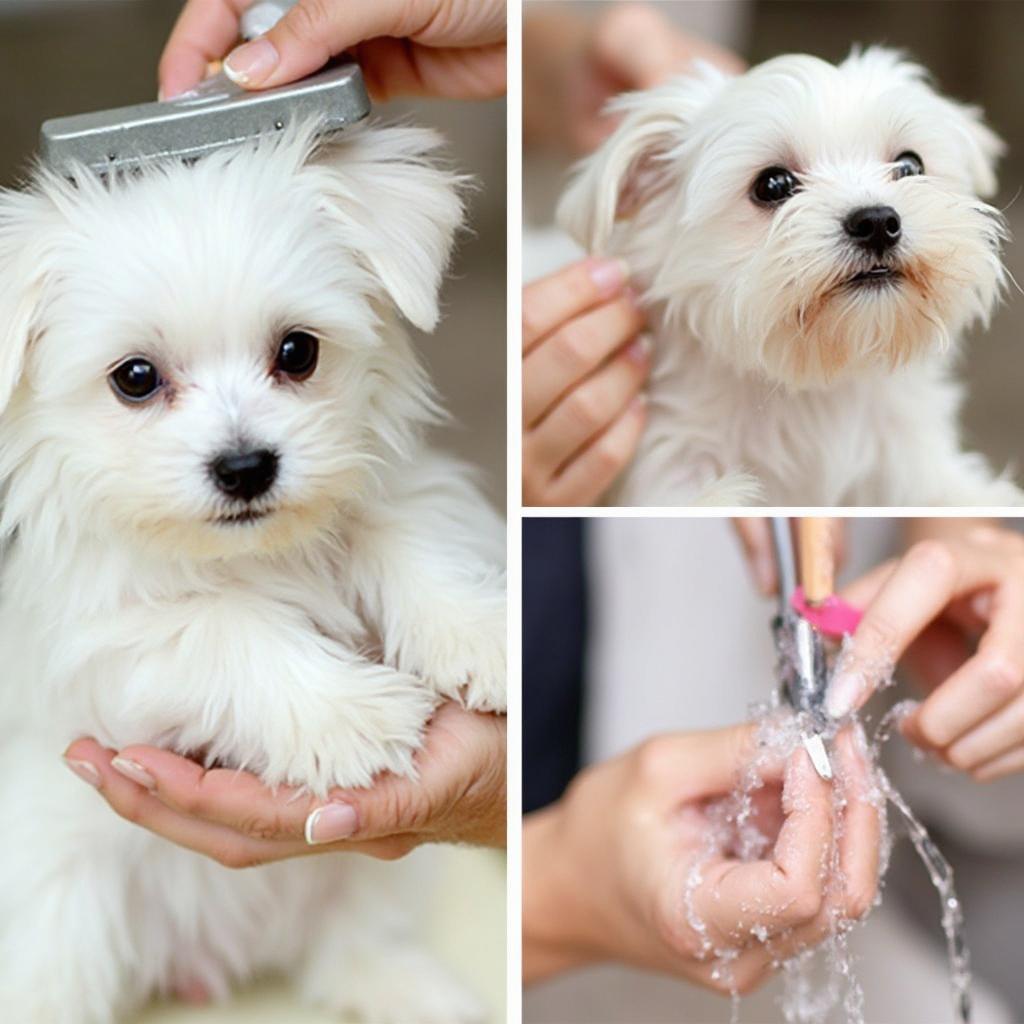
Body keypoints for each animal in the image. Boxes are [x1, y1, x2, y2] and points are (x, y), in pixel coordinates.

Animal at [0, 121, 505, 1024]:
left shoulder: (402, 490)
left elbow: (404, 541)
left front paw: (482, 636)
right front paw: (349, 716)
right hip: (61, 893)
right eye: (135, 378)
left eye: (298, 352)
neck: (251, 551)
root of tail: (213, 961)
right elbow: (223, 624)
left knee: (352, 945)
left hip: (376, 881)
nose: (245, 466)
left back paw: (414, 991)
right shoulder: (102, 633)